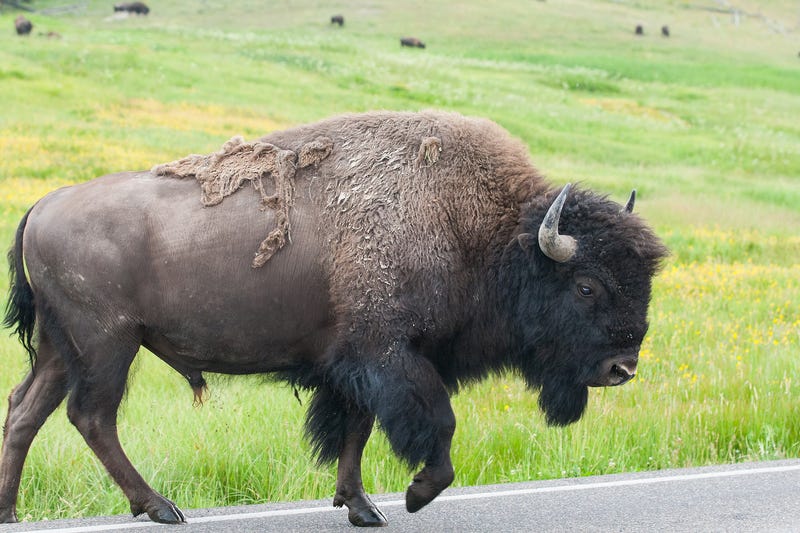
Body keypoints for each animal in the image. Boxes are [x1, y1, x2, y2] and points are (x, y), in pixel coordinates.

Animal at [0, 111, 667, 527]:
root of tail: (42, 205)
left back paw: (11, 510)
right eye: (586, 285)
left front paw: (363, 508)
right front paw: (415, 496)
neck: (480, 230)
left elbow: (355, 432)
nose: (622, 368)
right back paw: (162, 508)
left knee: (26, 412)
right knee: (92, 416)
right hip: (107, 345)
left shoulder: (354, 368)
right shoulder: (391, 358)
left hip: (62, 348)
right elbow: (435, 424)